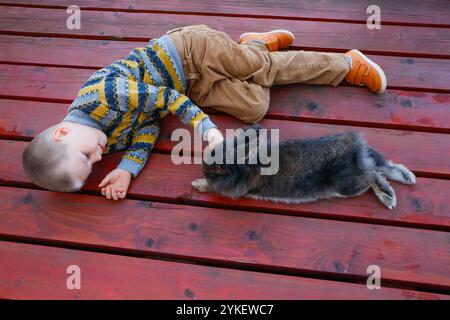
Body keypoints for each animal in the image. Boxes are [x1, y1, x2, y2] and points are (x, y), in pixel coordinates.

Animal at [192, 124, 416, 209]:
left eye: (217, 171)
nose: (203, 170)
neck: (246, 165)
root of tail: (357, 151)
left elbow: (213, 188)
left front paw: (198, 183)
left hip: (349, 185)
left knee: (373, 177)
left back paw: (388, 198)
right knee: (380, 170)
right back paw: (404, 179)